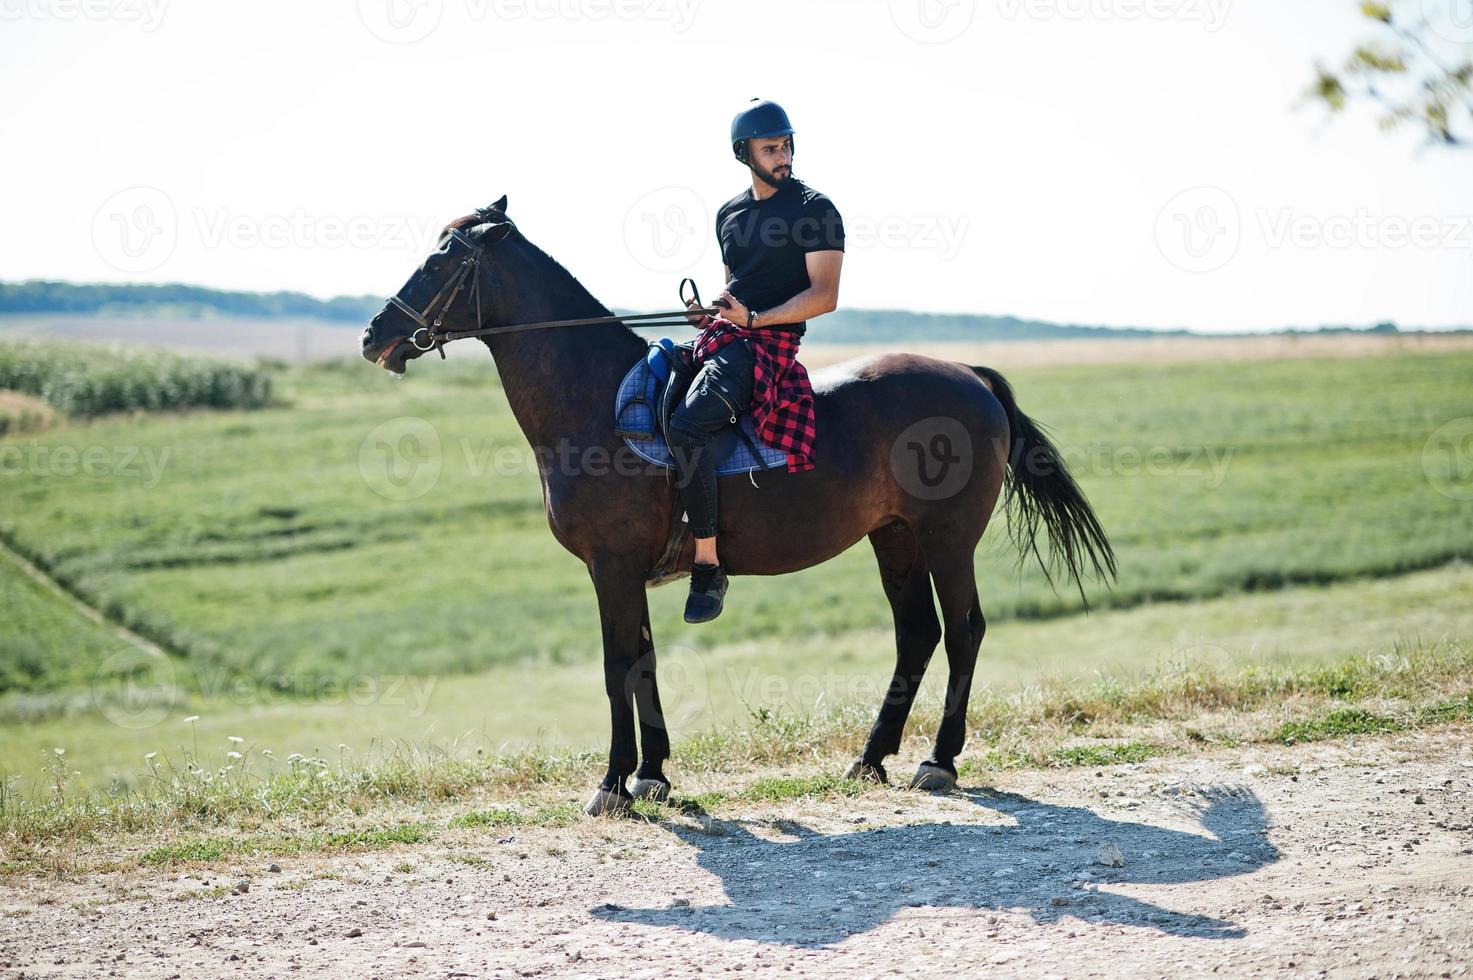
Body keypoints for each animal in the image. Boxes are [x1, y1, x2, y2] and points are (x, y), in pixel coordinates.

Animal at [362, 197, 1107, 807]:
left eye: (442, 259)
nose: (374, 337)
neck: (596, 399)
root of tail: (969, 378)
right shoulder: (628, 573)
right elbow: (643, 661)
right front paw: (652, 774)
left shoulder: (610, 567)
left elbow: (615, 665)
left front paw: (613, 782)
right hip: (894, 535)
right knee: (917, 632)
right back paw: (870, 758)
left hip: (947, 539)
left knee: (963, 629)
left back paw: (940, 761)